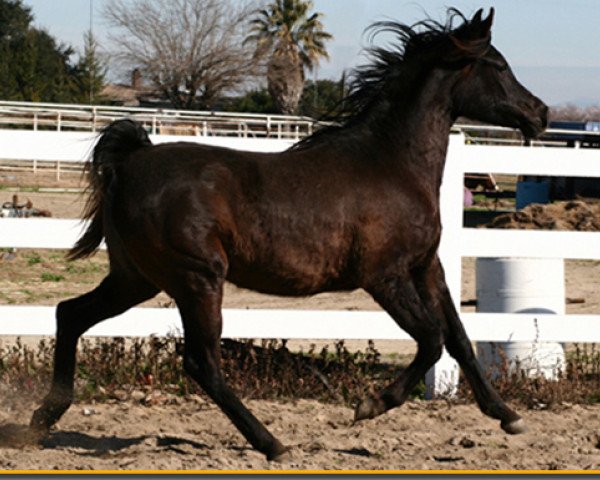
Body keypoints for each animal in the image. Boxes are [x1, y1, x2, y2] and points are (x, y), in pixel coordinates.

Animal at [31, 7, 548, 458]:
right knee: (202, 362)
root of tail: (131, 163)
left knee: (69, 314)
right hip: (197, 278)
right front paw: (368, 406)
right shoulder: (384, 276)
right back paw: (271, 443)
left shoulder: (426, 266)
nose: (540, 113)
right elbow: (431, 339)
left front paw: (508, 415)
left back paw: (40, 420)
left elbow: (459, 338)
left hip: (136, 278)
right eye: (498, 65)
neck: (392, 163)